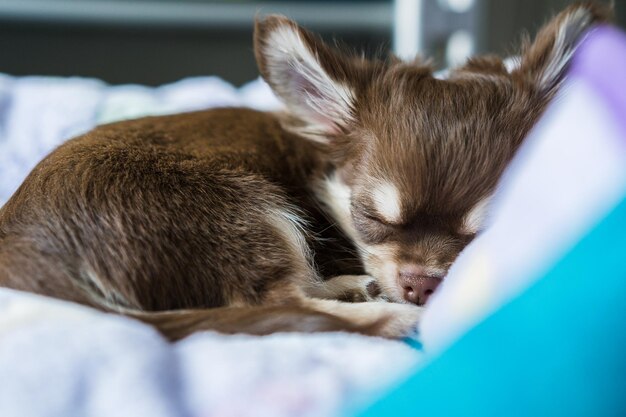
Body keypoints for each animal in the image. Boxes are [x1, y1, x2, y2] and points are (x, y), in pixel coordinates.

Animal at [0, 3, 608, 340]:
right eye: (370, 217)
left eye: (491, 228)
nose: (421, 285)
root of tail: (28, 257)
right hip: (242, 210)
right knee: (271, 302)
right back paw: (380, 314)